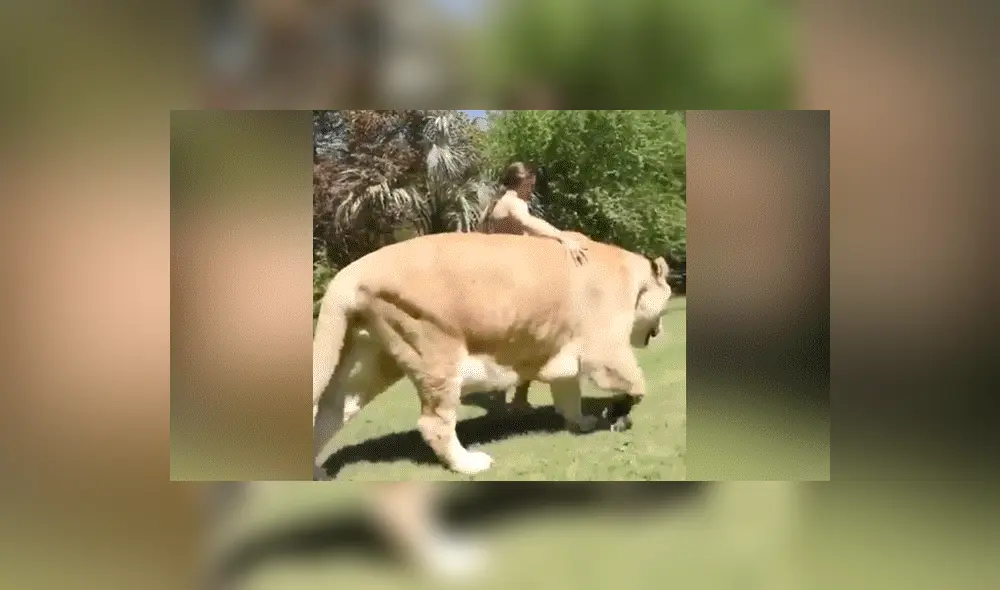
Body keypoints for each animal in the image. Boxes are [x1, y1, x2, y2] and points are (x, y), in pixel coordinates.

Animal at [312, 231, 672, 479]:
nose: (662, 329)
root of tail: (349, 273)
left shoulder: (565, 353)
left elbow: (568, 395)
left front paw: (582, 422)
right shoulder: (605, 350)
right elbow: (637, 384)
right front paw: (617, 415)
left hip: (369, 363)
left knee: (332, 409)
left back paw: (316, 472)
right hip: (436, 351)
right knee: (434, 423)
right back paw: (470, 464)